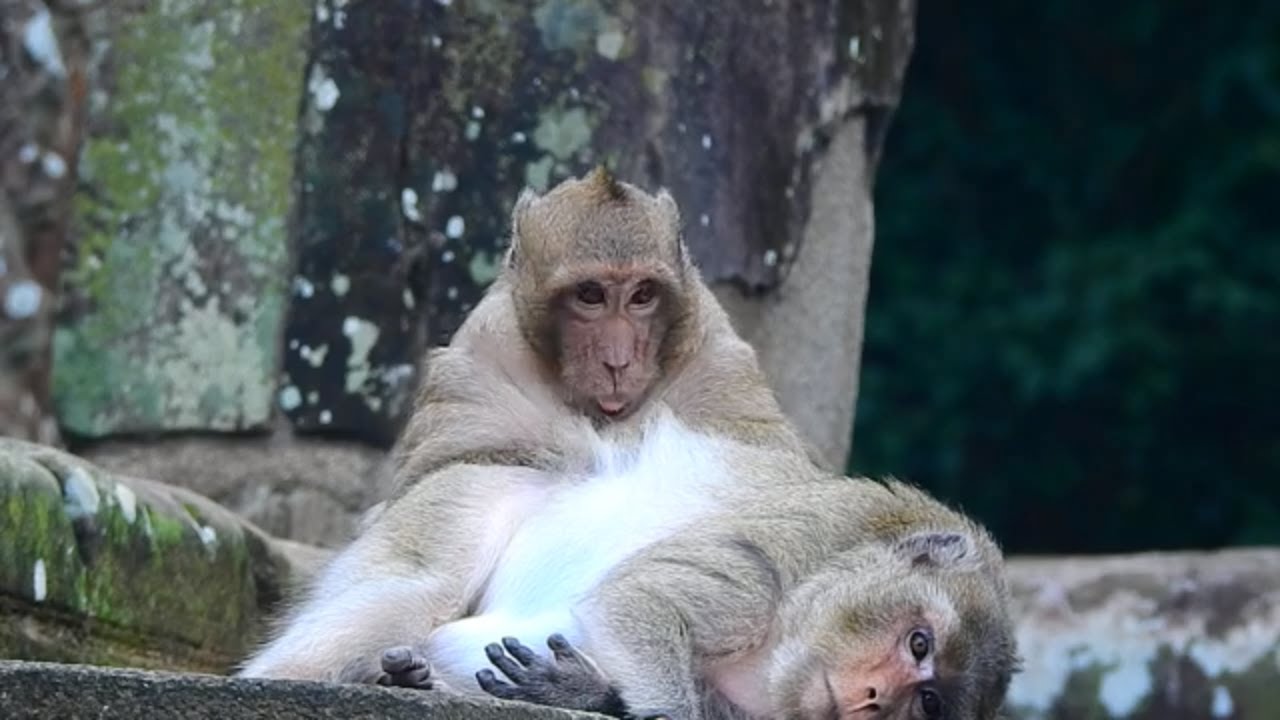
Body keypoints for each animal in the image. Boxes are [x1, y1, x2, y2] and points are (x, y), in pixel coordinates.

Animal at [236, 167, 821, 685]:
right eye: (590, 296)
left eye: (641, 295)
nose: (618, 360)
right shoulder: (483, 352)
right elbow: (448, 474)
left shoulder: (719, 363)